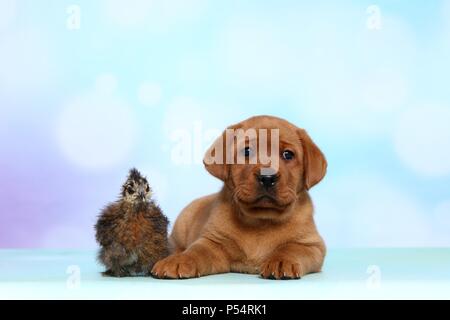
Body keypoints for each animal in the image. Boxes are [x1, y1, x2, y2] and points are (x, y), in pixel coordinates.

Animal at [152, 116, 326, 278]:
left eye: (288, 154)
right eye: (247, 151)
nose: (267, 178)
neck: (261, 222)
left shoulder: (312, 245)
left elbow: (292, 249)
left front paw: (282, 261)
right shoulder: (213, 242)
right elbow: (195, 252)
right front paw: (178, 260)